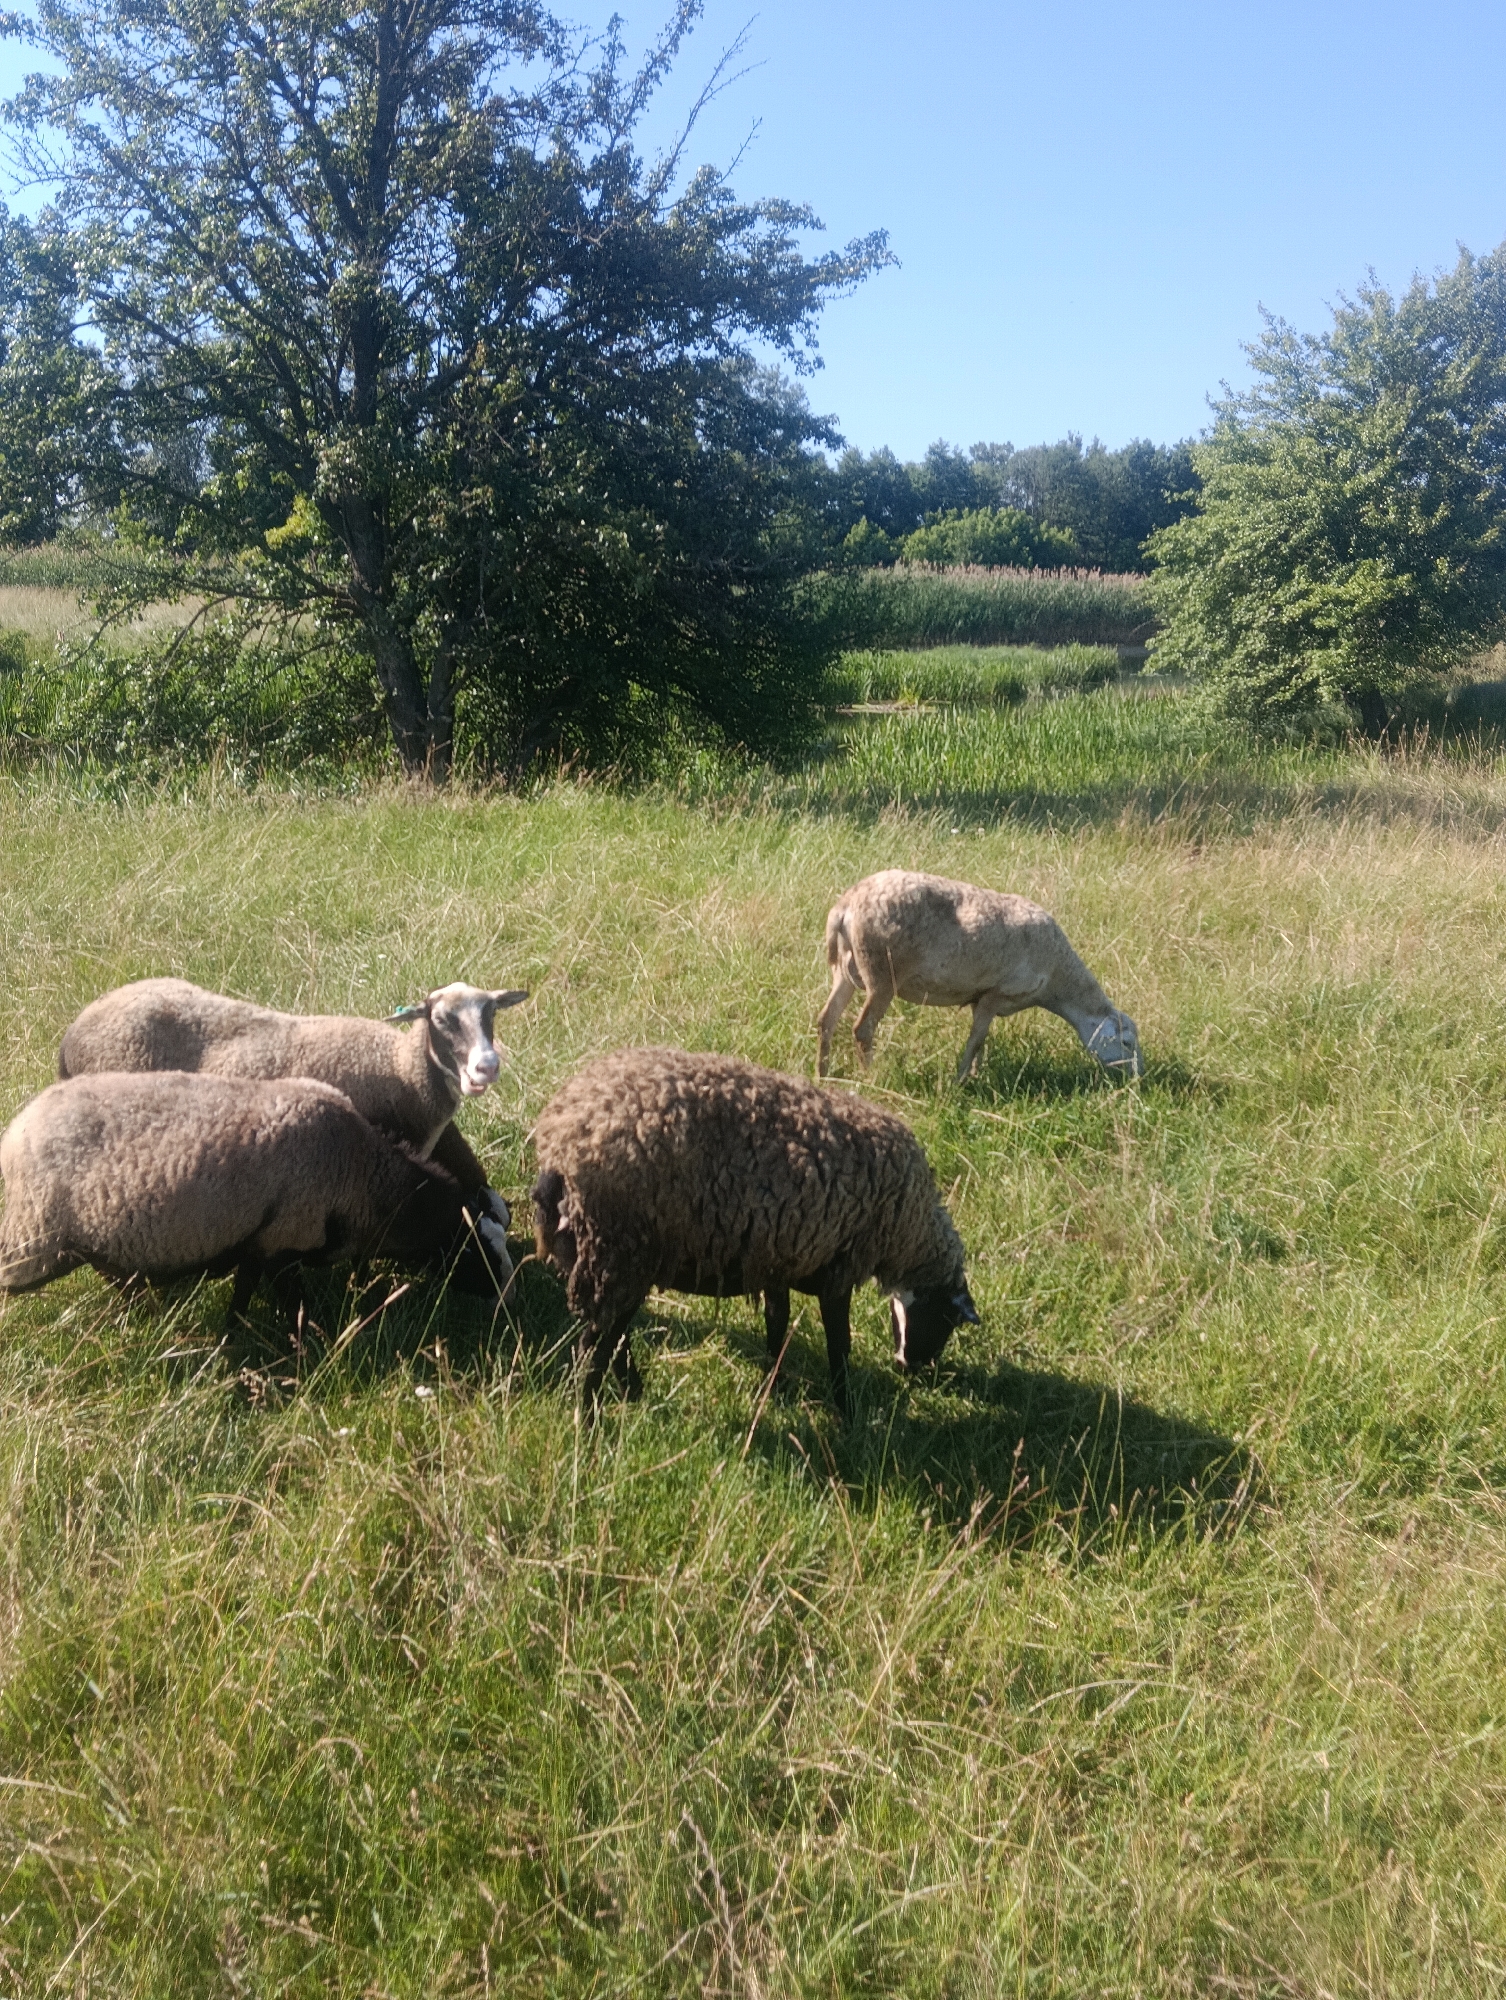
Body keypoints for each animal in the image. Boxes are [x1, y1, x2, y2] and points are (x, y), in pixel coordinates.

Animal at [0, 1070, 513, 1315]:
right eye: (472, 1246)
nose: (505, 1298)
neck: (360, 1174)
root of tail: (19, 1126)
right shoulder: (280, 1243)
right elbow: (293, 1307)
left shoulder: (257, 1247)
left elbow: (243, 1301)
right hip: (29, 1238)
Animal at [531, 1046, 978, 1414]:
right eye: (946, 1321)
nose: (910, 1369)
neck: (908, 1230)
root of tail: (560, 1147)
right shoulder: (839, 1268)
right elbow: (839, 1345)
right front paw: (847, 1411)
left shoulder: (778, 1259)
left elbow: (776, 1325)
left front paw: (772, 1388)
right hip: (619, 1254)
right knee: (593, 1351)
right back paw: (589, 1425)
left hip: (604, 1260)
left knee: (614, 1340)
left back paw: (633, 1394)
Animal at [817, 869, 1142, 1082]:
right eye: (1126, 1043)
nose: (1138, 1075)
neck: (1057, 980)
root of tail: (846, 906)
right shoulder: (997, 992)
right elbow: (976, 1039)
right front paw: (961, 1080)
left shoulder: (981, 995)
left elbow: (982, 1040)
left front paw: (977, 1072)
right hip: (882, 973)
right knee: (863, 1029)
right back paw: (872, 1077)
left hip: (845, 970)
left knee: (826, 1020)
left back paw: (823, 1073)